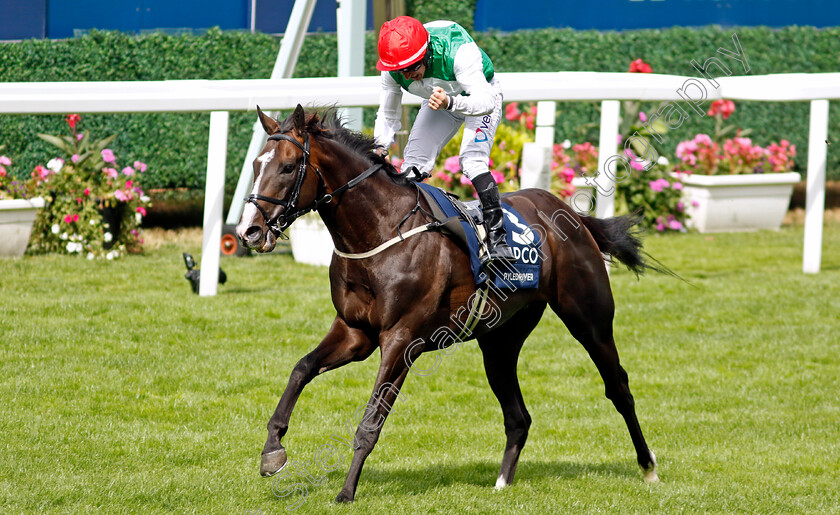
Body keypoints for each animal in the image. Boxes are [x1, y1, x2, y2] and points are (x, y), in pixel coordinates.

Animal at [236, 105, 664, 504]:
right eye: (256, 164)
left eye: (288, 167)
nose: (248, 231)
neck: (381, 230)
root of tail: (569, 214)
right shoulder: (354, 331)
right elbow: (301, 369)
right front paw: (272, 451)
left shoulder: (402, 339)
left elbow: (371, 420)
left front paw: (346, 492)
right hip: (500, 340)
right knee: (518, 417)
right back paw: (501, 483)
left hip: (589, 320)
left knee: (619, 388)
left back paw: (648, 467)